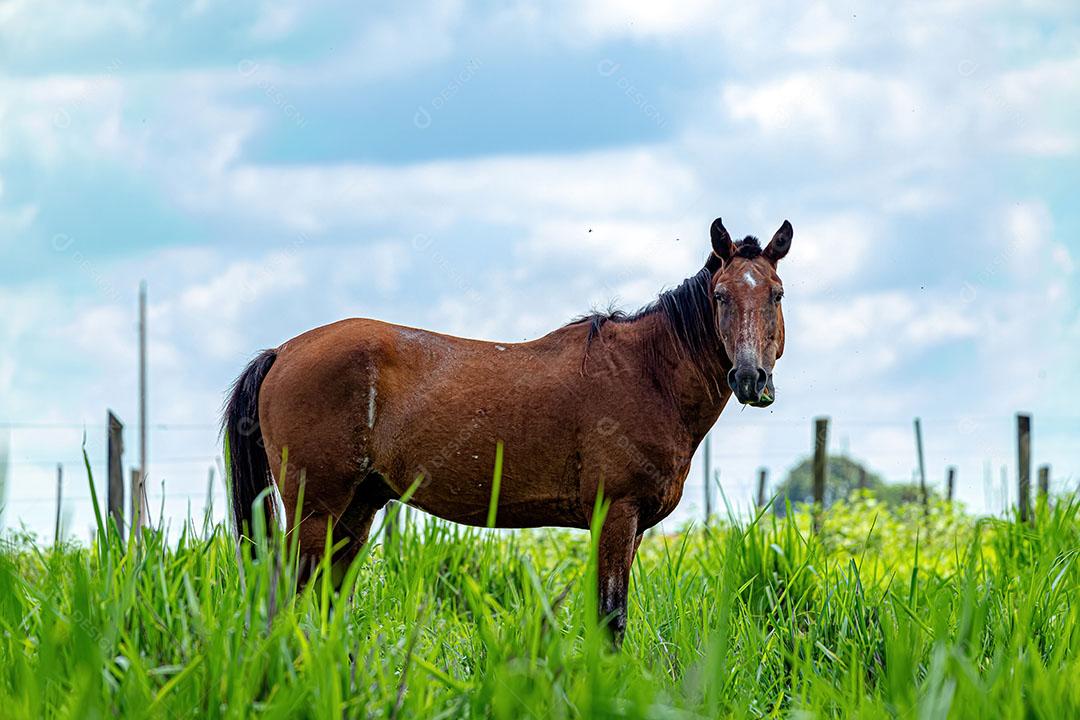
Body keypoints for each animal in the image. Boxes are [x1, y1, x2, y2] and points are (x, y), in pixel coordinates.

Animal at [223, 217, 793, 643]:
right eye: (719, 296)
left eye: (776, 294)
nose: (750, 378)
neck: (646, 371)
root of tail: (283, 352)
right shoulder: (616, 512)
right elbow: (611, 618)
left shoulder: (629, 528)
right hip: (313, 510)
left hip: (357, 509)